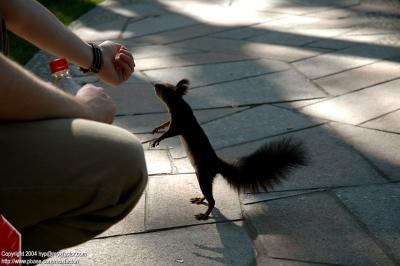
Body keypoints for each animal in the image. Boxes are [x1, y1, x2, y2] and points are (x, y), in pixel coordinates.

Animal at [152, 79, 308, 220]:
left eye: (165, 88)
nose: (155, 85)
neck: (176, 105)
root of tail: (216, 163)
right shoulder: (173, 120)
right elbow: (166, 124)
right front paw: (157, 128)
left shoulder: (180, 123)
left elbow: (171, 132)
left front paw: (158, 139)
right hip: (203, 177)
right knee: (207, 194)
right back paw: (200, 200)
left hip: (204, 175)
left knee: (212, 200)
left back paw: (204, 215)